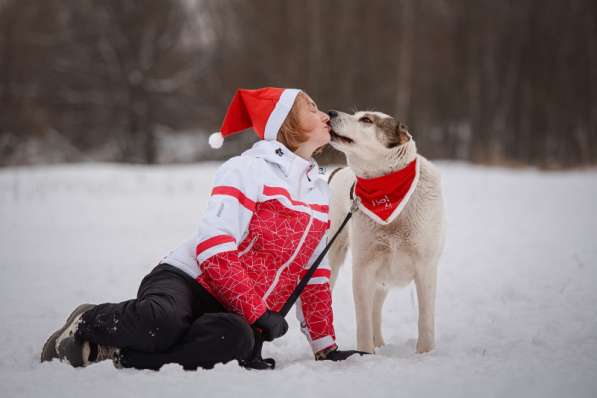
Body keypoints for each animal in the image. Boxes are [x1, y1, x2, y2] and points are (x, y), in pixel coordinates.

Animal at [324, 109, 444, 354]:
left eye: (366, 120)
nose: (331, 112)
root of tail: (339, 171)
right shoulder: (363, 268)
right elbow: (362, 321)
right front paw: (364, 354)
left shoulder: (426, 267)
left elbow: (425, 318)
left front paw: (426, 352)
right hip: (333, 257)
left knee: (377, 307)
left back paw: (379, 342)